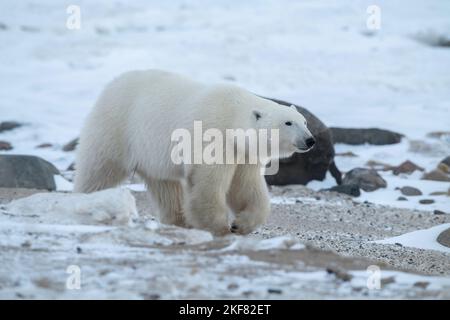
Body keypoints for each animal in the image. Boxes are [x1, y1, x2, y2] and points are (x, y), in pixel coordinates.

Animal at [74, 70, 314, 235]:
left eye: (304, 121)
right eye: (288, 122)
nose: (310, 140)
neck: (232, 114)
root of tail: (112, 85)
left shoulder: (243, 153)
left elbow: (245, 187)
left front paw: (241, 224)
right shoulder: (213, 137)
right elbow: (208, 185)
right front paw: (219, 226)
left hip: (151, 154)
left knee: (165, 187)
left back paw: (179, 221)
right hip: (117, 129)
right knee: (98, 170)